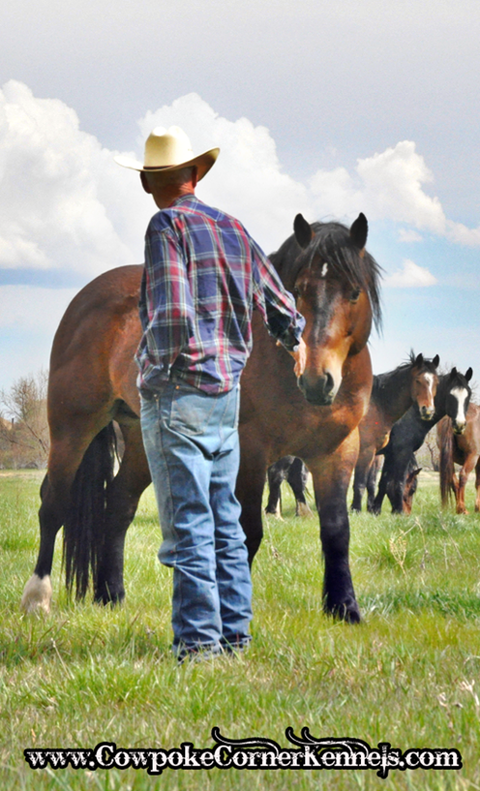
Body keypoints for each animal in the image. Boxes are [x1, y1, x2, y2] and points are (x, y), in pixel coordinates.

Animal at [21, 210, 382, 624]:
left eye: (353, 292)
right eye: (298, 291)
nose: (316, 379)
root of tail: (86, 297)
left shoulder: (337, 451)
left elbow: (336, 530)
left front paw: (344, 606)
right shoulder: (250, 451)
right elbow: (248, 530)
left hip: (140, 439)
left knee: (118, 505)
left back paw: (110, 594)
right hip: (72, 427)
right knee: (54, 504)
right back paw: (37, 598)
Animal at [372, 368, 472, 516]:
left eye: (468, 395)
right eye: (451, 395)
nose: (459, 424)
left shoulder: (390, 453)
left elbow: (384, 482)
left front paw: (375, 510)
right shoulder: (402, 451)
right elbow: (398, 482)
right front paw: (399, 512)